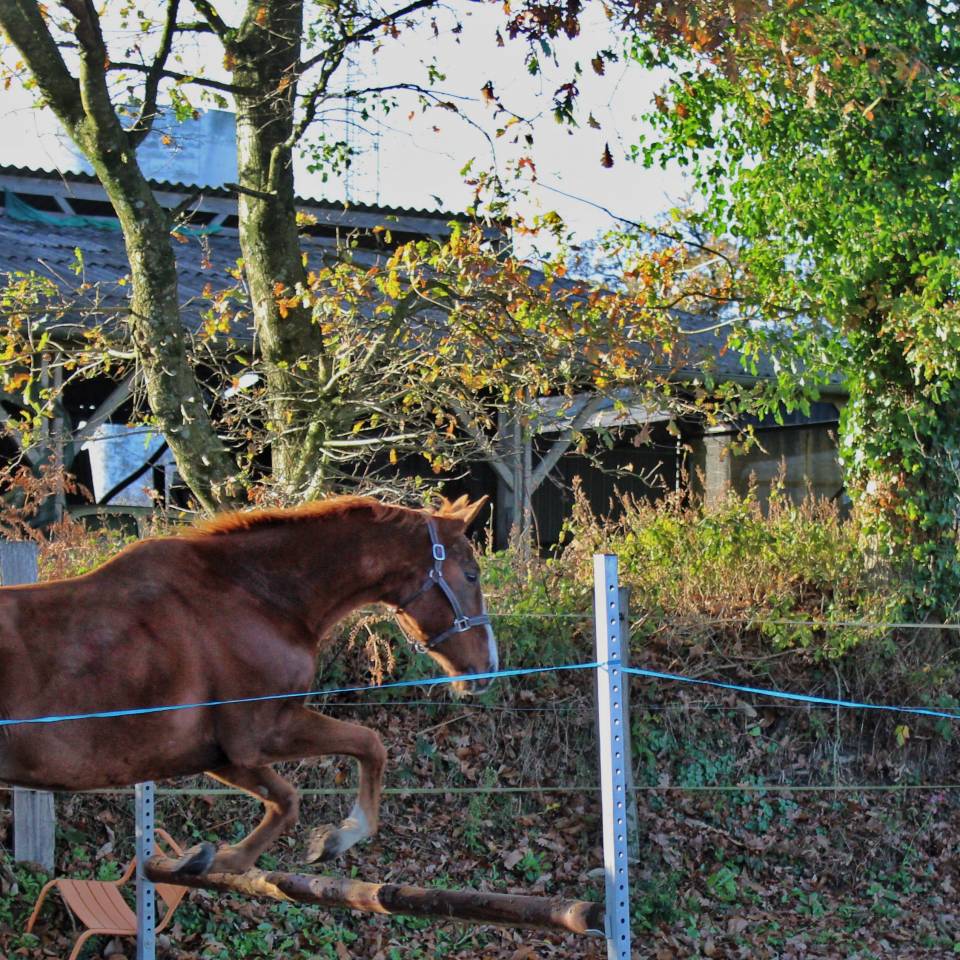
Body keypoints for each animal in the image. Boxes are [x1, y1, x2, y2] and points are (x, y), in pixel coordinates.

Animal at [0, 494, 497, 875]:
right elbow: (362, 749)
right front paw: (337, 838)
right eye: (471, 575)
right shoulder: (259, 735)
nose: (488, 668)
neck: (257, 595)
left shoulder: (218, 755)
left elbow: (288, 795)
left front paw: (207, 860)